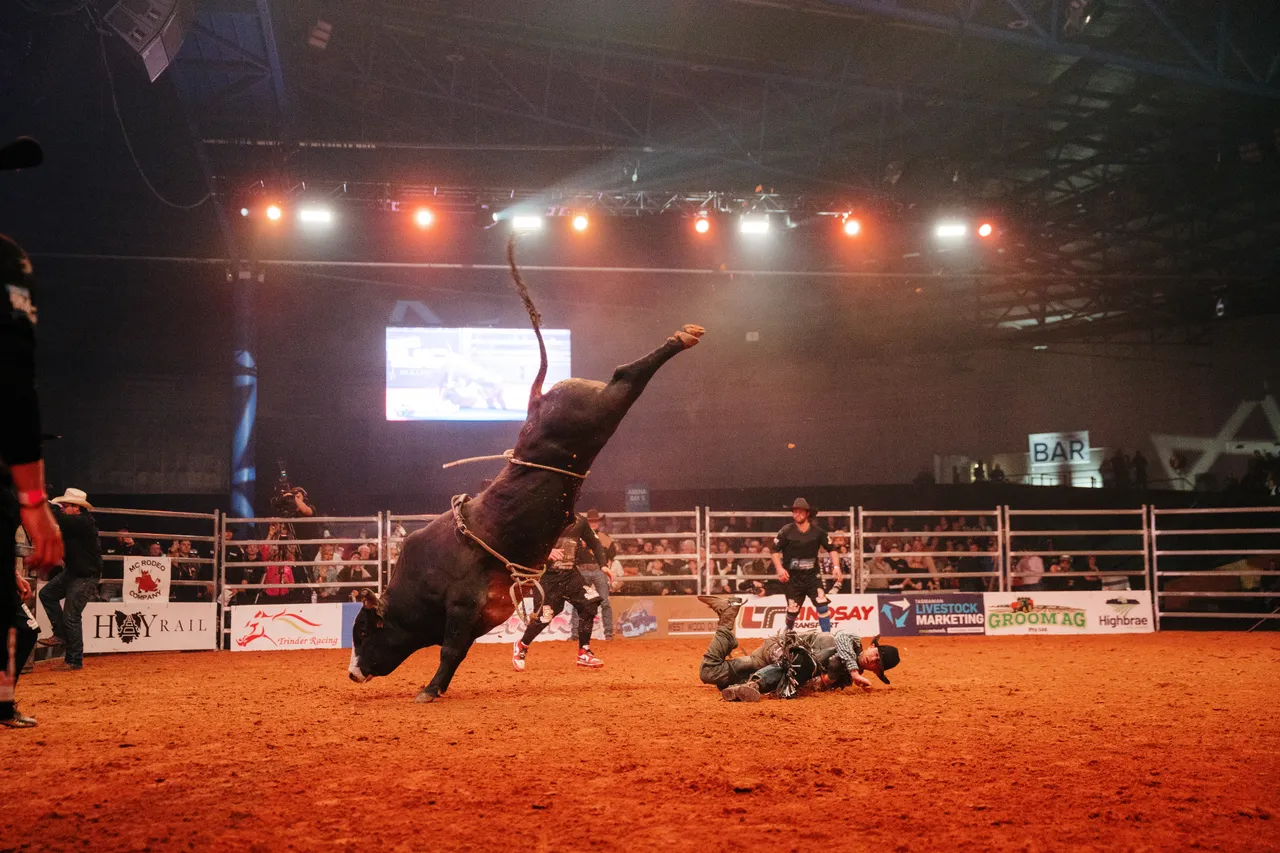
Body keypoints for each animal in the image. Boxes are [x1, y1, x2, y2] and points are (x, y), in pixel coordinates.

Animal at [348, 242, 704, 702]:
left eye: (362, 632)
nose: (352, 673)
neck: (424, 573)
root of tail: (537, 400)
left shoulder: (463, 605)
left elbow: (450, 650)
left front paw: (429, 689)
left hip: (595, 411)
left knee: (626, 375)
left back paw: (682, 337)